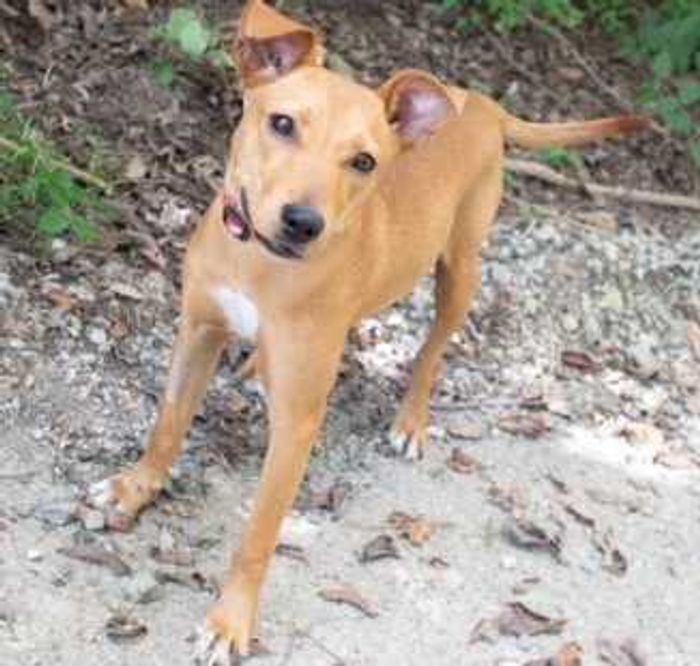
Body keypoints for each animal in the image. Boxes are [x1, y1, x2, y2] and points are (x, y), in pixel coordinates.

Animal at [89, 0, 652, 660]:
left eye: (363, 162)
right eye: (282, 123)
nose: (303, 222)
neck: (260, 262)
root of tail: (479, 103)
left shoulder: (297, 426)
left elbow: (259, 533)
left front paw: (230, 622)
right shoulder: (198, 331)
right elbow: (168, 424)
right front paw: (134, 488)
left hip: (461, 270)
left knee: (433, 350)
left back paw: (410, 419)